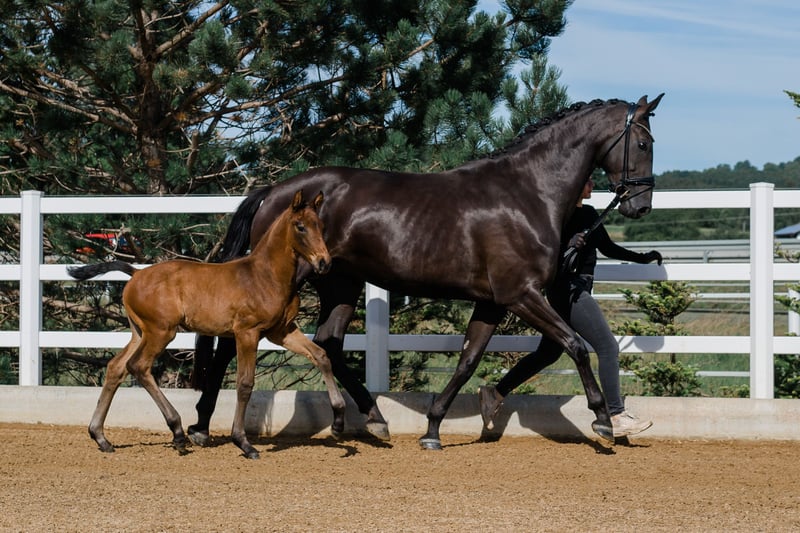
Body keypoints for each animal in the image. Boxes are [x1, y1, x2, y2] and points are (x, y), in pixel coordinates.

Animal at [68, 190, 342, 459]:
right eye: (300, 227)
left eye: (320, 225)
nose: (324, 263)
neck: (265, 276)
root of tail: (136, 273)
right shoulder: (247, 333)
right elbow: (245, 384)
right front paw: (243, 443)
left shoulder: (281, 331)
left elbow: (321, 355)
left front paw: (338, 419)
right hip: (161, 331)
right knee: (139, 366)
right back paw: (177, 432)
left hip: (139, 331)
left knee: (116, 367)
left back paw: (101, 437)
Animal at [190, 94, 664, 450]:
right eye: (644, 144)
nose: (641, 206)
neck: (526, 192)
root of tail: (274, 191)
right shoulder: (520, 294)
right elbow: (576, 345)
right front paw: (603, 421)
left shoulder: (492, 303)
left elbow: (469, 361)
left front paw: (434, 428)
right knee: (237, 343)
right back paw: (200, 425)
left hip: (340, 283)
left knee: (329, 343)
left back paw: (372, 419)